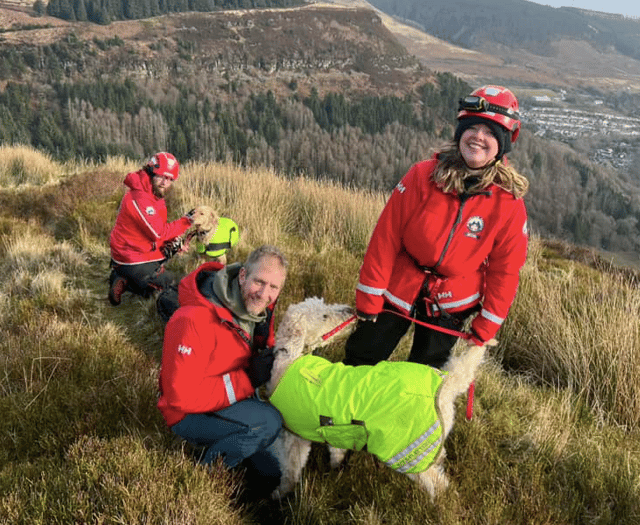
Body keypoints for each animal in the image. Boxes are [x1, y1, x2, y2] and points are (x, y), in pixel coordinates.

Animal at [264, 296, 496, 498]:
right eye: (324, 315)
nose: (350, 310)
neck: (290, 360)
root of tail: (447, 385)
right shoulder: (337, 432)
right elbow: (336, 451)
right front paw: (335, 468)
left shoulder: (294, 437)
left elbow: (291, 470)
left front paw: (279, 495)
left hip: (409, 452)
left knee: (439, 485)